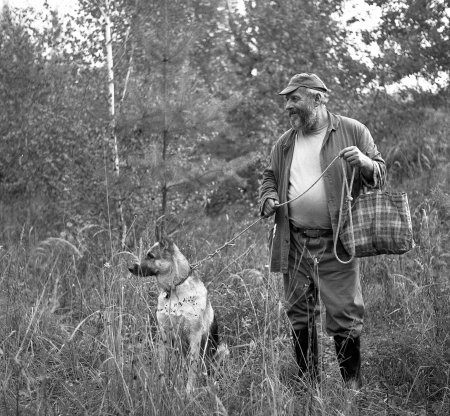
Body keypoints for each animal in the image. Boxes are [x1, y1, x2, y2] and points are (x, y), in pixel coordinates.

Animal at [128, 228, 227, 394]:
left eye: (150, 255)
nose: (129, 268)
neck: (174, 289)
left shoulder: (195, 337)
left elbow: (193, 369)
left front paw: (188, 392)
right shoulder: (164, 334)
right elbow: (162, 364)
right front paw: (161, 387)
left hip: (222, 349)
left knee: (209, 371)